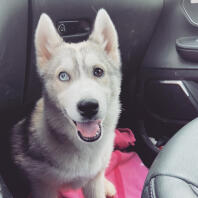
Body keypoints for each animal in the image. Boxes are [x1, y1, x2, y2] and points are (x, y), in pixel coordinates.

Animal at [12, 8, 122, 198]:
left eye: (98, 71)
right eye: (63, 76)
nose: (88, 107)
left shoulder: (93, 182)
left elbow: (96, 182)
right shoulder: (43, 185)